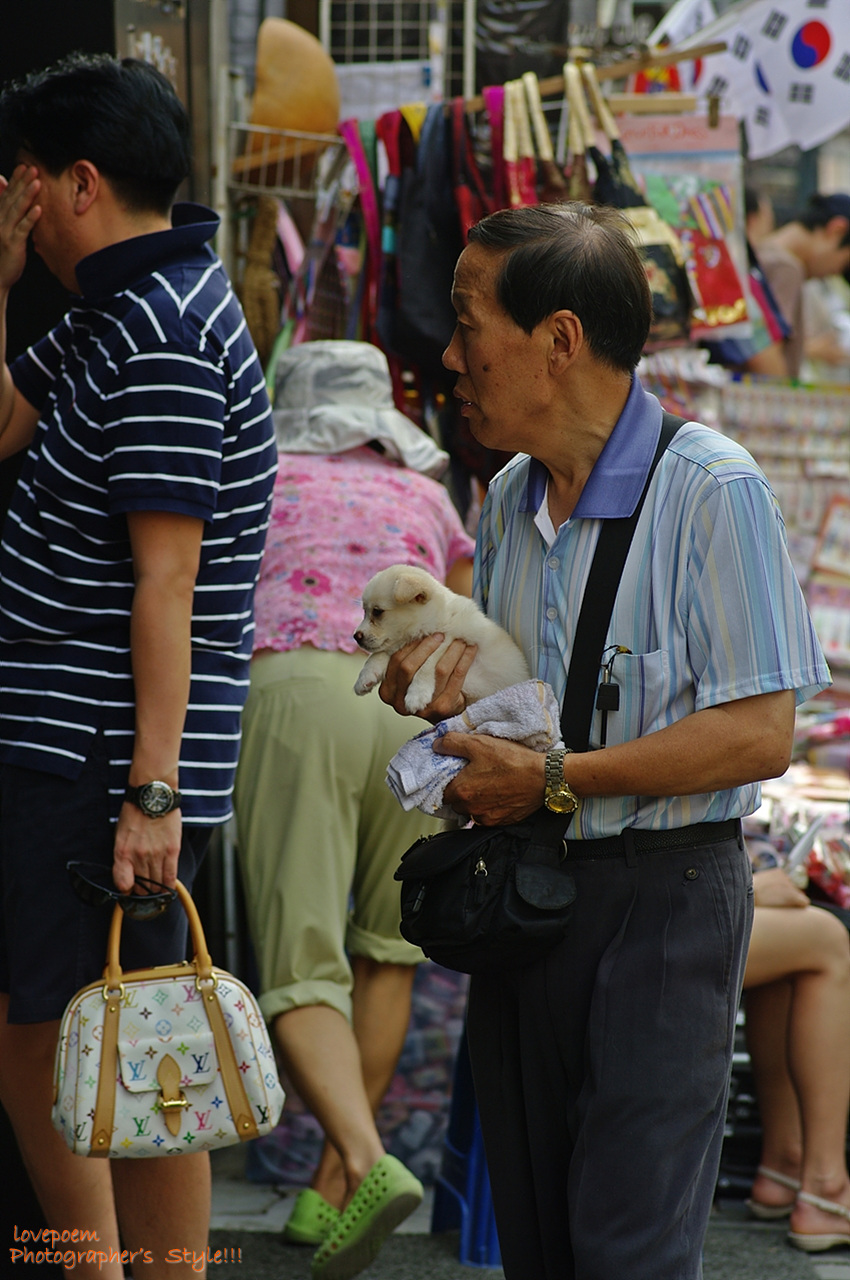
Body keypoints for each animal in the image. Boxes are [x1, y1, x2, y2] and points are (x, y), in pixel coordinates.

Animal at [353, 563, 532, 716]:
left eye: (377, 612)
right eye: (365, 611)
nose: (356, 637)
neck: (435, 619)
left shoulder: (449, 640)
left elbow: (427, 664)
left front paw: (417, 694)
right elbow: (377, 654)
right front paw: (365, 677)